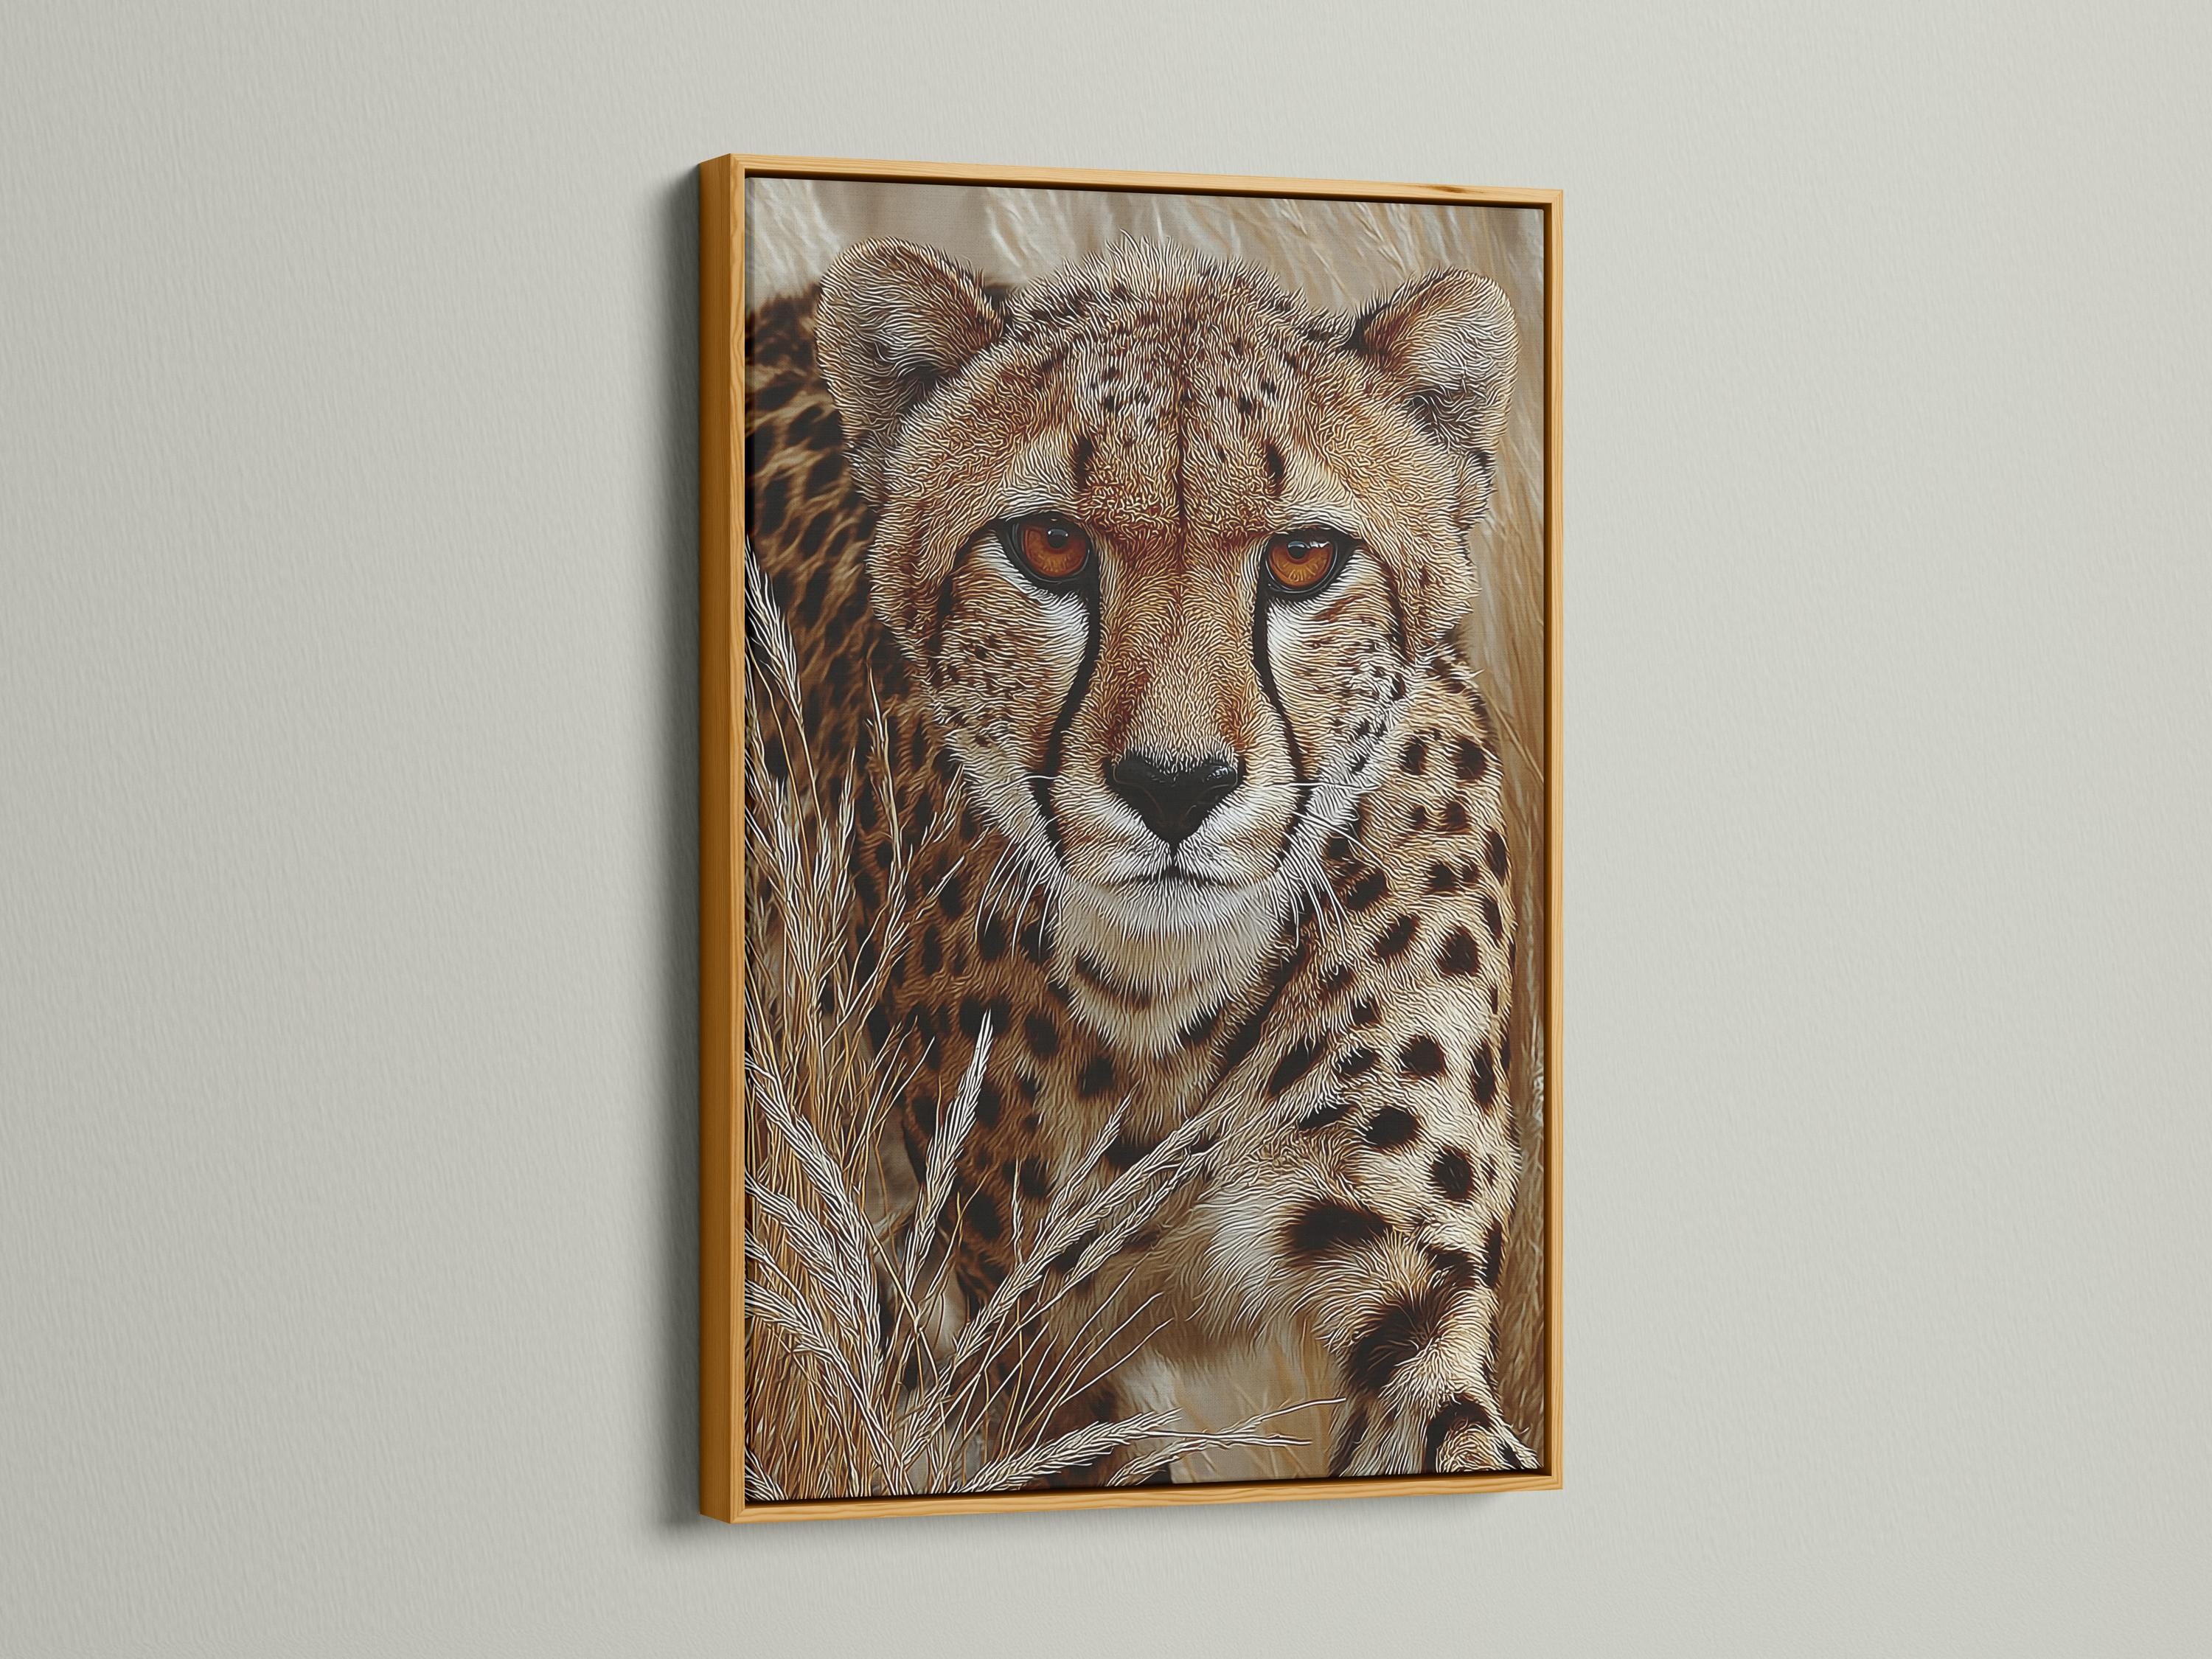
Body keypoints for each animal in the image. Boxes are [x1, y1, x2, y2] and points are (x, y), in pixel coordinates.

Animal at [744, 234, 1536, 1483]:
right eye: (1049, 544)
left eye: (1304, 557)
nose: (1175, 785)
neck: (1174, 1007)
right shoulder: (1035, 1351)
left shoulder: (1410, 1288)